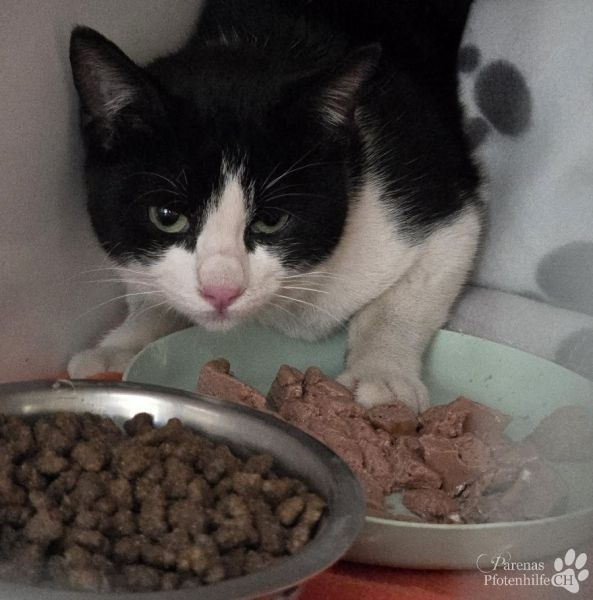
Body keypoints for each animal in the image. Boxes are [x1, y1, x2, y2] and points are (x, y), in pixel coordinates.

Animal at [67, 0, 482, 412]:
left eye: (271, 220)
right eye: (167, 217)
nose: (221, 291)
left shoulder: (435, 196)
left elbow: (406, 298)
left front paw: (381, 374)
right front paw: (122, 344)